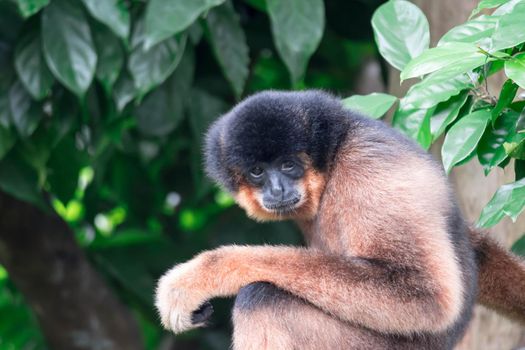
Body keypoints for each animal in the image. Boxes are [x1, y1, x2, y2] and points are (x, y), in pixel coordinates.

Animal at [155, 91, 524, 350]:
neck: (335, 158)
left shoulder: (370, 173)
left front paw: (201, 275)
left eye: (288, 165)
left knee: (263, 299)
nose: (277, 188)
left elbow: (424, 294)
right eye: (258, 171)